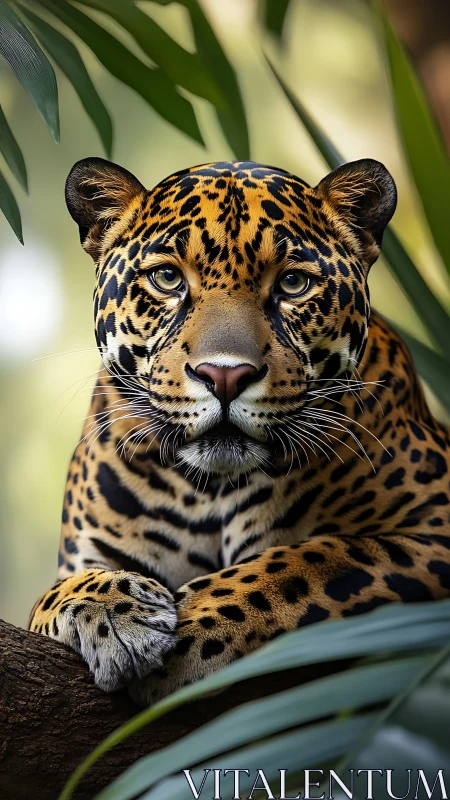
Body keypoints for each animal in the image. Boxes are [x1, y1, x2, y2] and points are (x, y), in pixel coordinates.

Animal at [29, 157, 450, 707]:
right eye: (167, 278)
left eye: (293, 284)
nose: (224, 375)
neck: (208, 488)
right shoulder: (85, 555)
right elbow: (53, 595)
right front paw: (117, 617)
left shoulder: (434, 526)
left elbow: (307, 561)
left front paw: (191, 629)